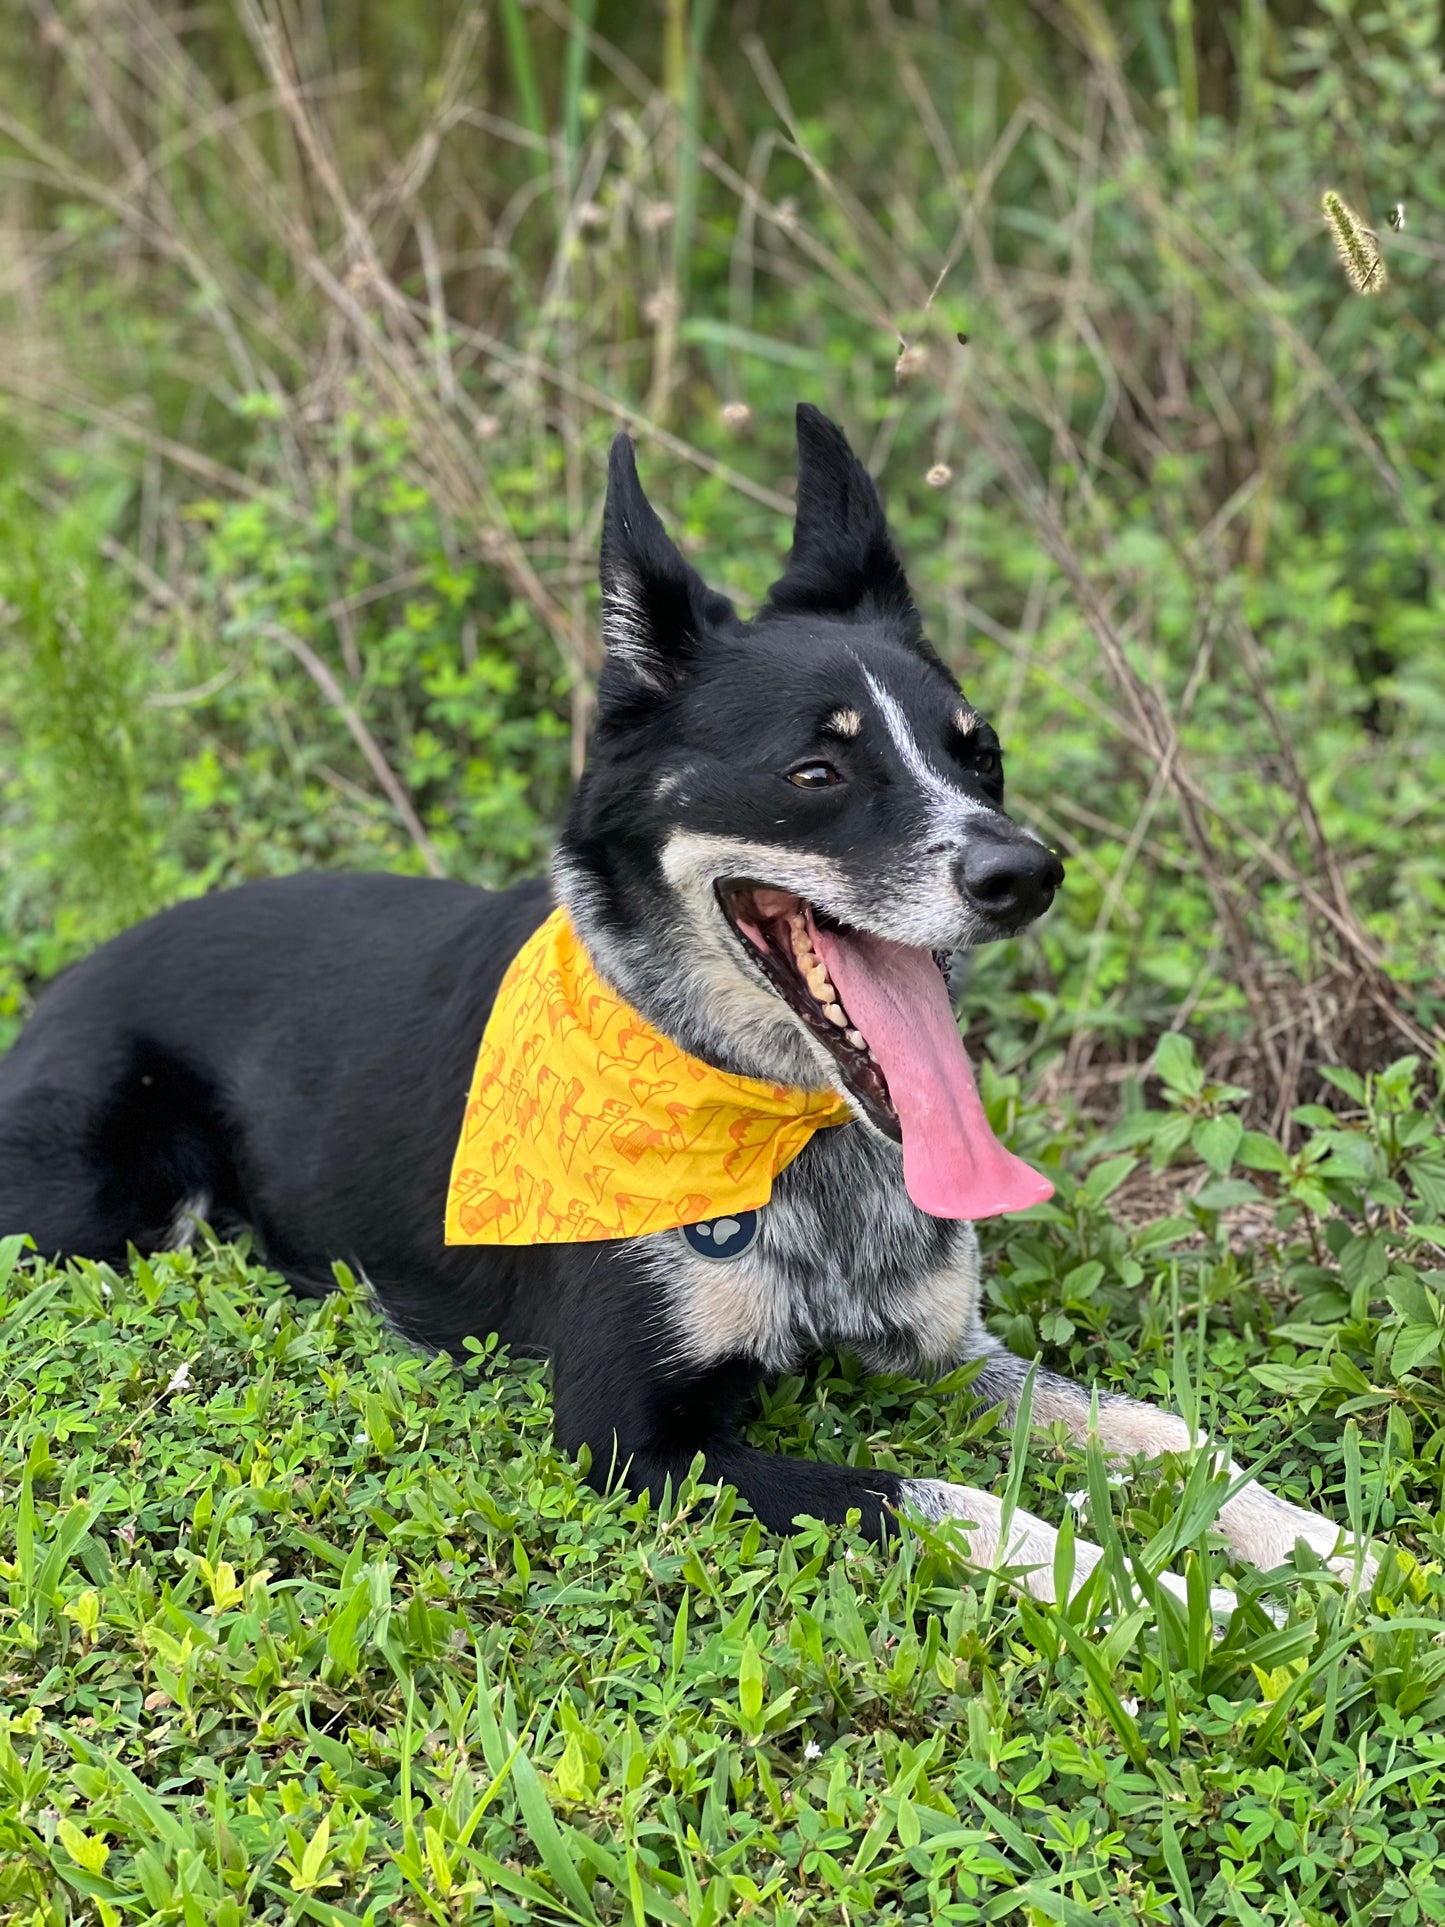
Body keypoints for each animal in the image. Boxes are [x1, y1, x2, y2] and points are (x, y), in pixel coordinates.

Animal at [0, 410, 1371, 1610]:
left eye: (976, 753)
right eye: (813, 771)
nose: (1023, 873)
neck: (769, 1117)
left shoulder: (944, 1355)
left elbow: (1163, 1428)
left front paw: (1322, 1548)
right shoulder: (631, 1438)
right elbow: (940, 1496)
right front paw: (1149, 1591)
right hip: (117, 1209)